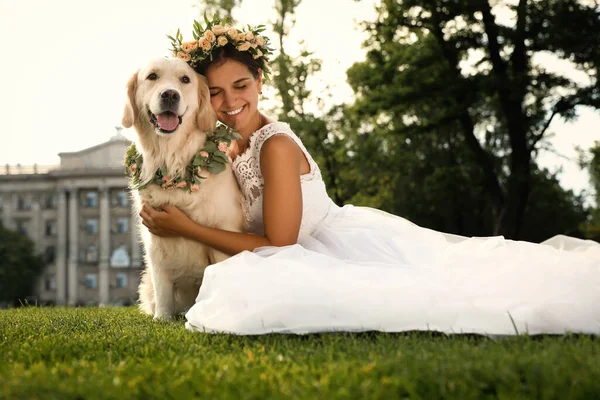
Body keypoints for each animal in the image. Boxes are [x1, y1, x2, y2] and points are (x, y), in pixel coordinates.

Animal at [123, 57, 245, 318]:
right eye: (152, 76)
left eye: (185, 79)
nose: (170, 94)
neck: (172, 162)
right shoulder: (156, 246)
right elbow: (163, 292)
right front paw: (162, 319)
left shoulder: (223, 235)